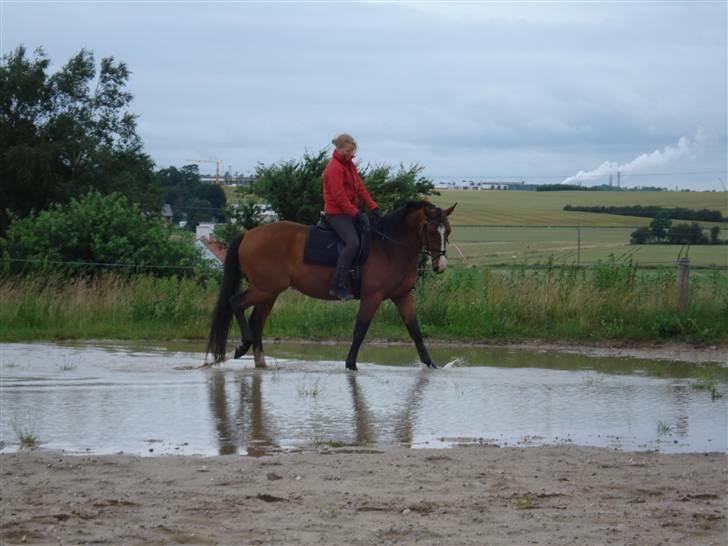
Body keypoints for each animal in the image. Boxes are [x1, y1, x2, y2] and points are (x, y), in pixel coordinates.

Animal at [205, 200, 456, 370]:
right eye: (432, 230)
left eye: (448, 231)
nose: (440, 265)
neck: (391, 247)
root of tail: (248, 235)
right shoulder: (372, 297)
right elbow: (360, 330)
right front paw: (351, 364)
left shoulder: (403, 296)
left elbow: (415, 331)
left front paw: (431, 365)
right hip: (264, 289)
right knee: (235, 303)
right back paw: (243, 346)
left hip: (269, 292)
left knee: (257, 320)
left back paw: (260, 361)